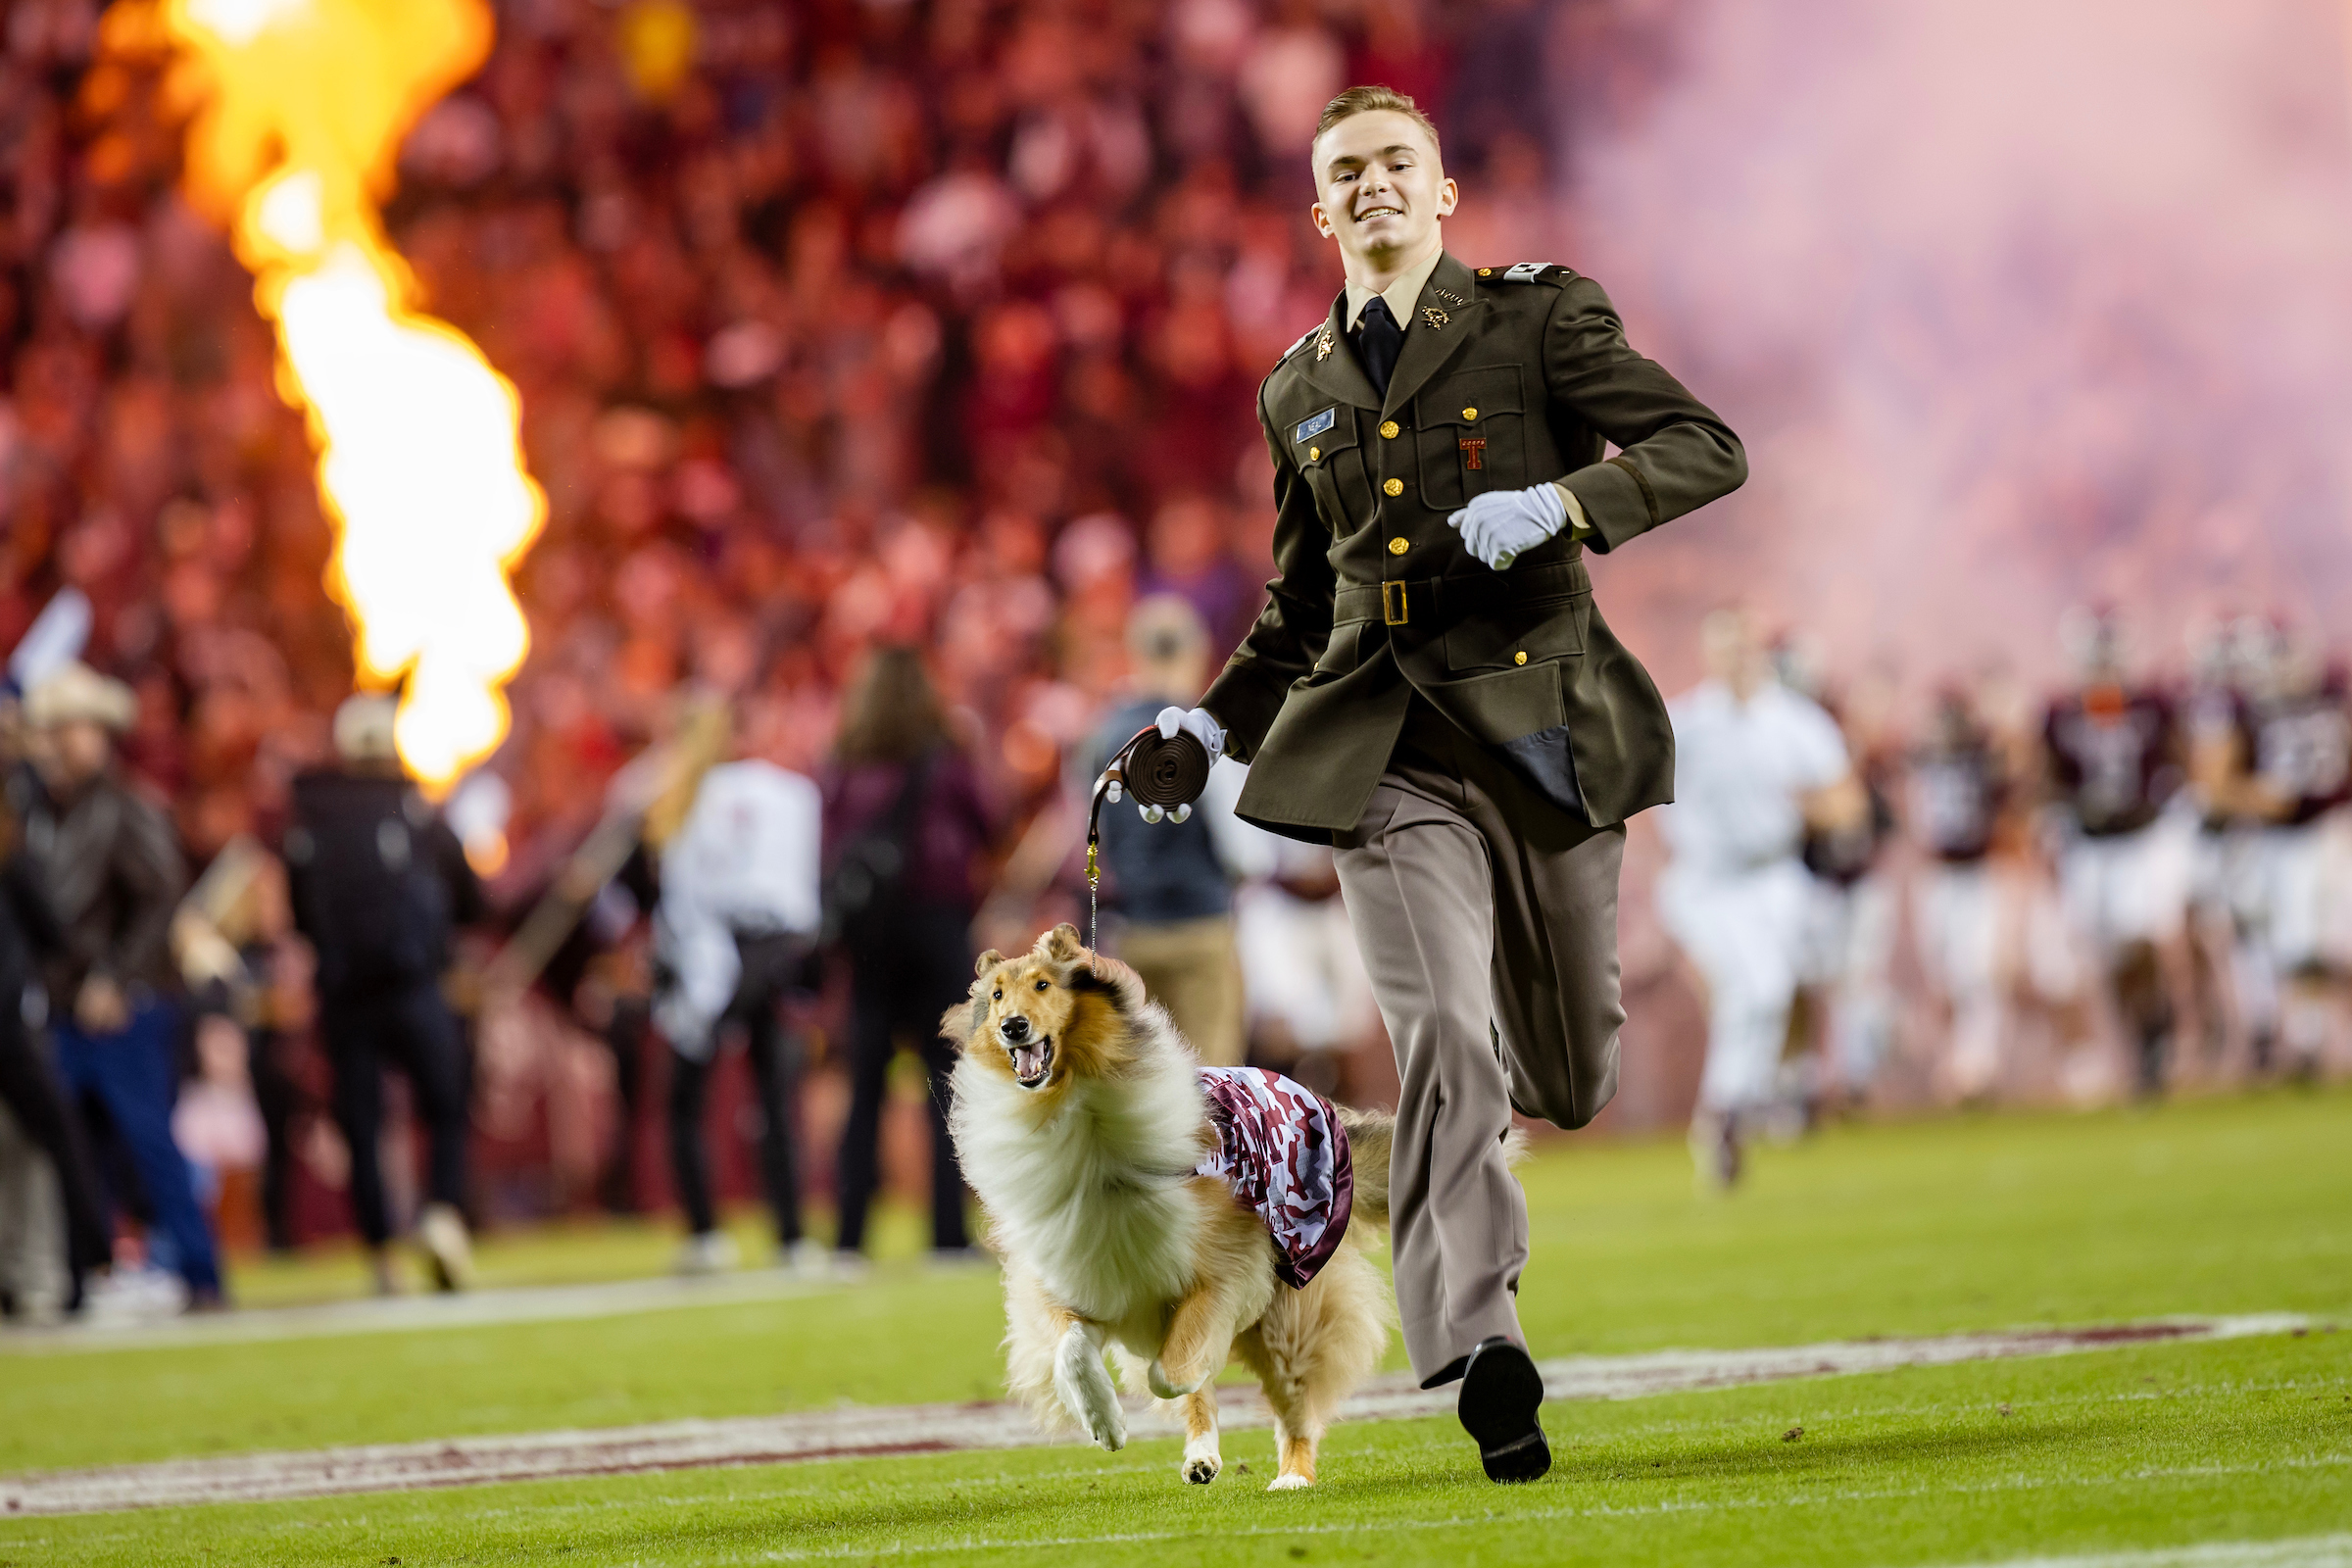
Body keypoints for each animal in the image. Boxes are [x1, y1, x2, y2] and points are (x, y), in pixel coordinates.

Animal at [941, 926, 1392, 1494]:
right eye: (997, 994)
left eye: (1043, 984)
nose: (1012, 1027)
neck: (1076, 1114)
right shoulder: (1083, 1272)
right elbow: (1072, 1351)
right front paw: (1103, 1422)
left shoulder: (1220, 1270)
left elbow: (1170, 1372)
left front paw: (1183, 1374)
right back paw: (1201, 1458)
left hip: (1288, 1317)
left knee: (1296, 1406)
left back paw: (1291, 1476)